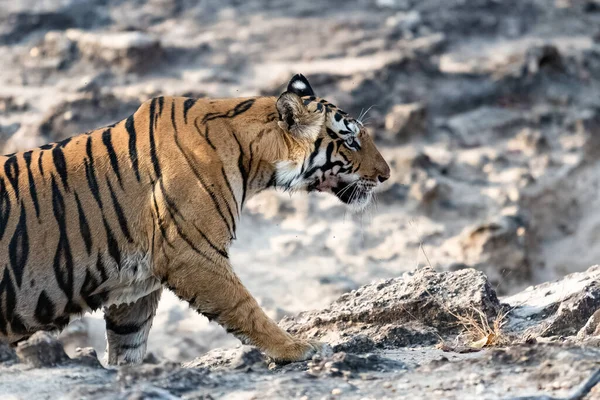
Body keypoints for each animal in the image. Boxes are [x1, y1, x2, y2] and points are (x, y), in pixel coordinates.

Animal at [0, 75, 390, 366]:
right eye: (351, 141)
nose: (386, 175)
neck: (254, 158)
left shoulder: (137, 285)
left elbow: (129, 343)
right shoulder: (192, 254)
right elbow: (244, 306)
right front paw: (297, 348)